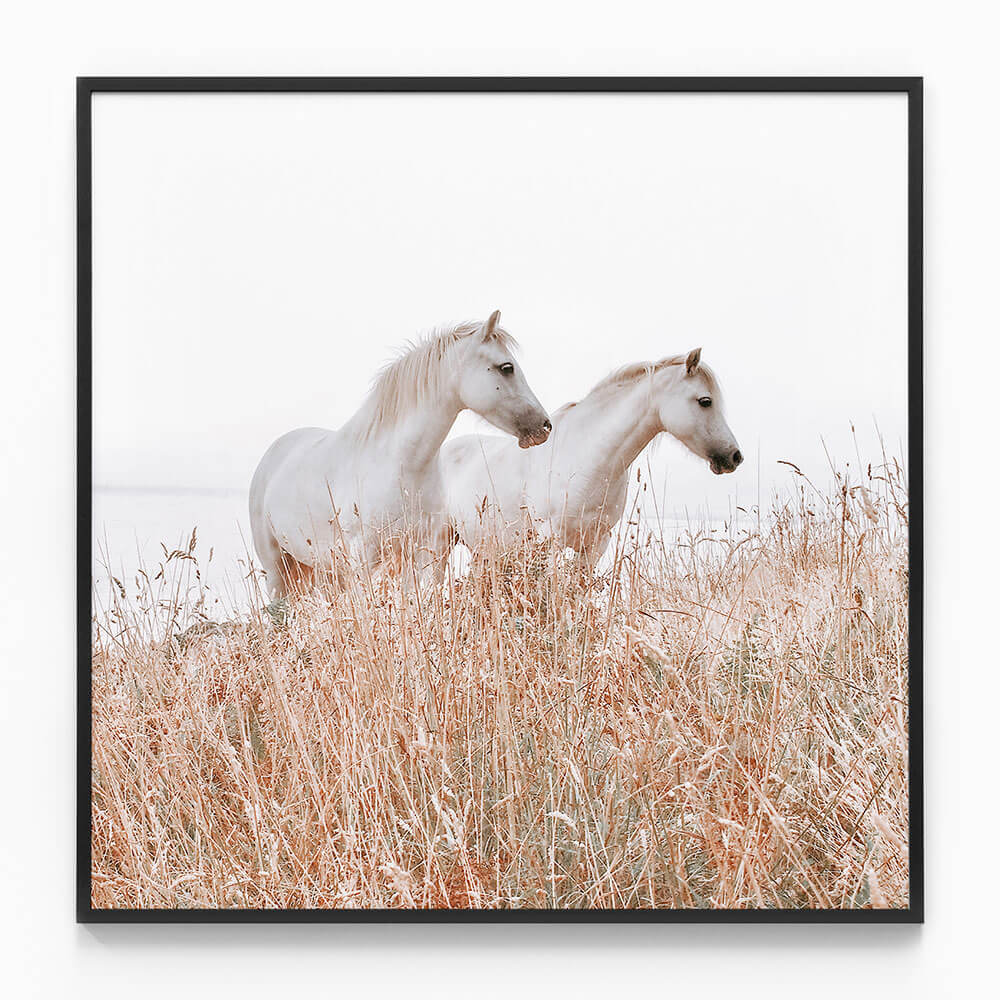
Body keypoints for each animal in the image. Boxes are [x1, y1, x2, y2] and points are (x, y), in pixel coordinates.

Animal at [249, 311, 552, 597]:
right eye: (507, 368)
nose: (545, 426)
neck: (401, 464)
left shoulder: (419, 553)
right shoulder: (362, 560)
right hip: (276, 570)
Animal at [441, 347, 742, 571]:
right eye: (705, 401)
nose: (735, 456)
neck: (590, 458)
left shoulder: (596, 544)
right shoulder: (550, 540)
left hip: (482, 548)